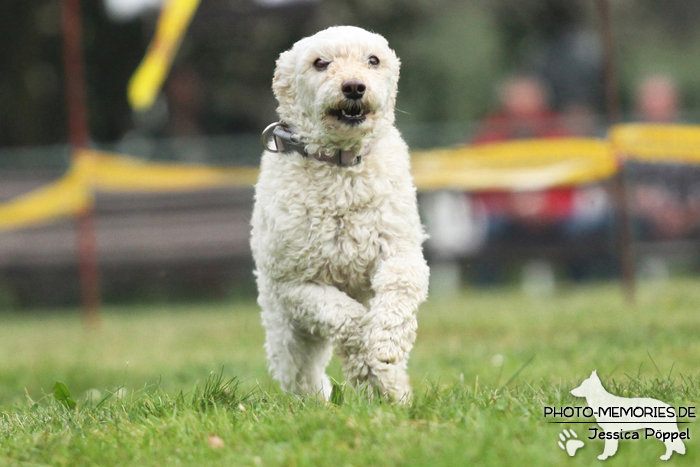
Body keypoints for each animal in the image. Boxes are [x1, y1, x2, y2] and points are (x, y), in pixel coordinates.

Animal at [252, 26, 426, 402]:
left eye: (373, 60)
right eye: (320, 63)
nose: (354, 86)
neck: (342, 166)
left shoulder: (401, 252)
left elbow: (399, 288)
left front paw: (385, 342)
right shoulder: (295, 285)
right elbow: (347, 317)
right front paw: (368, 348)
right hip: (285, 328)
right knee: (300, 370)